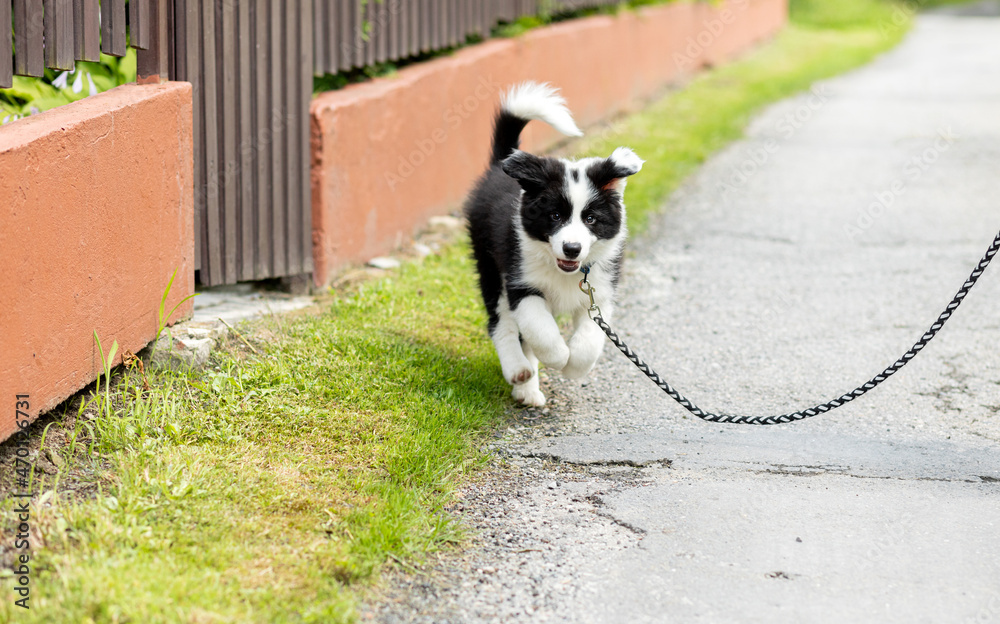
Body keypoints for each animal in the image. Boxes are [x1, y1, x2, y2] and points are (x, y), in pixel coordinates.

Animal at [466, 81, 644, 404]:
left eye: (590, 219)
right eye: (555, 215)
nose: (572, 249)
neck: (563, 271)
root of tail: (500, 163)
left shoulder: (598, 293)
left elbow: (590, 340)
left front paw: (574, 367)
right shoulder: (521, 282)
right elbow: (541, 329)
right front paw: (559, 356)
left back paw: (527, 390)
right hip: (489, 263)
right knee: (500, 322)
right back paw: (519, 370)